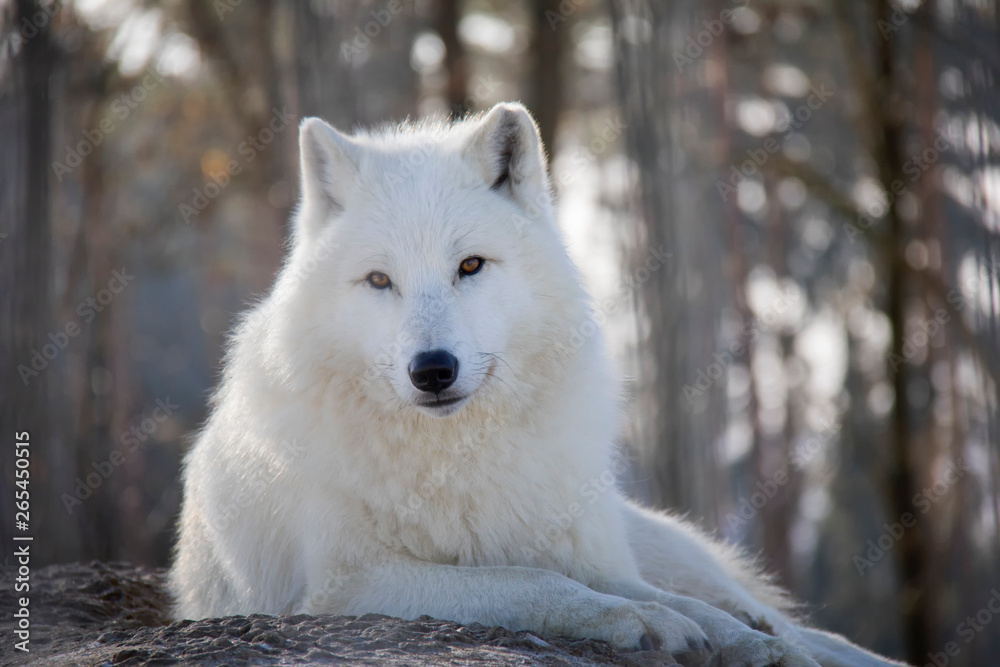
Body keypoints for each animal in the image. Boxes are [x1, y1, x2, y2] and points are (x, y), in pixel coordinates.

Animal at [170, 102, 907, 667]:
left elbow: (672, 601)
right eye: (380, 280)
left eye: (470, 265)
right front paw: (644, 625)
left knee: (769, 614)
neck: (457, 458)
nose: (431, 369)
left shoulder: (589, 555)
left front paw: (733, 640)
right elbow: (531, 579)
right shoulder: (345, 587)